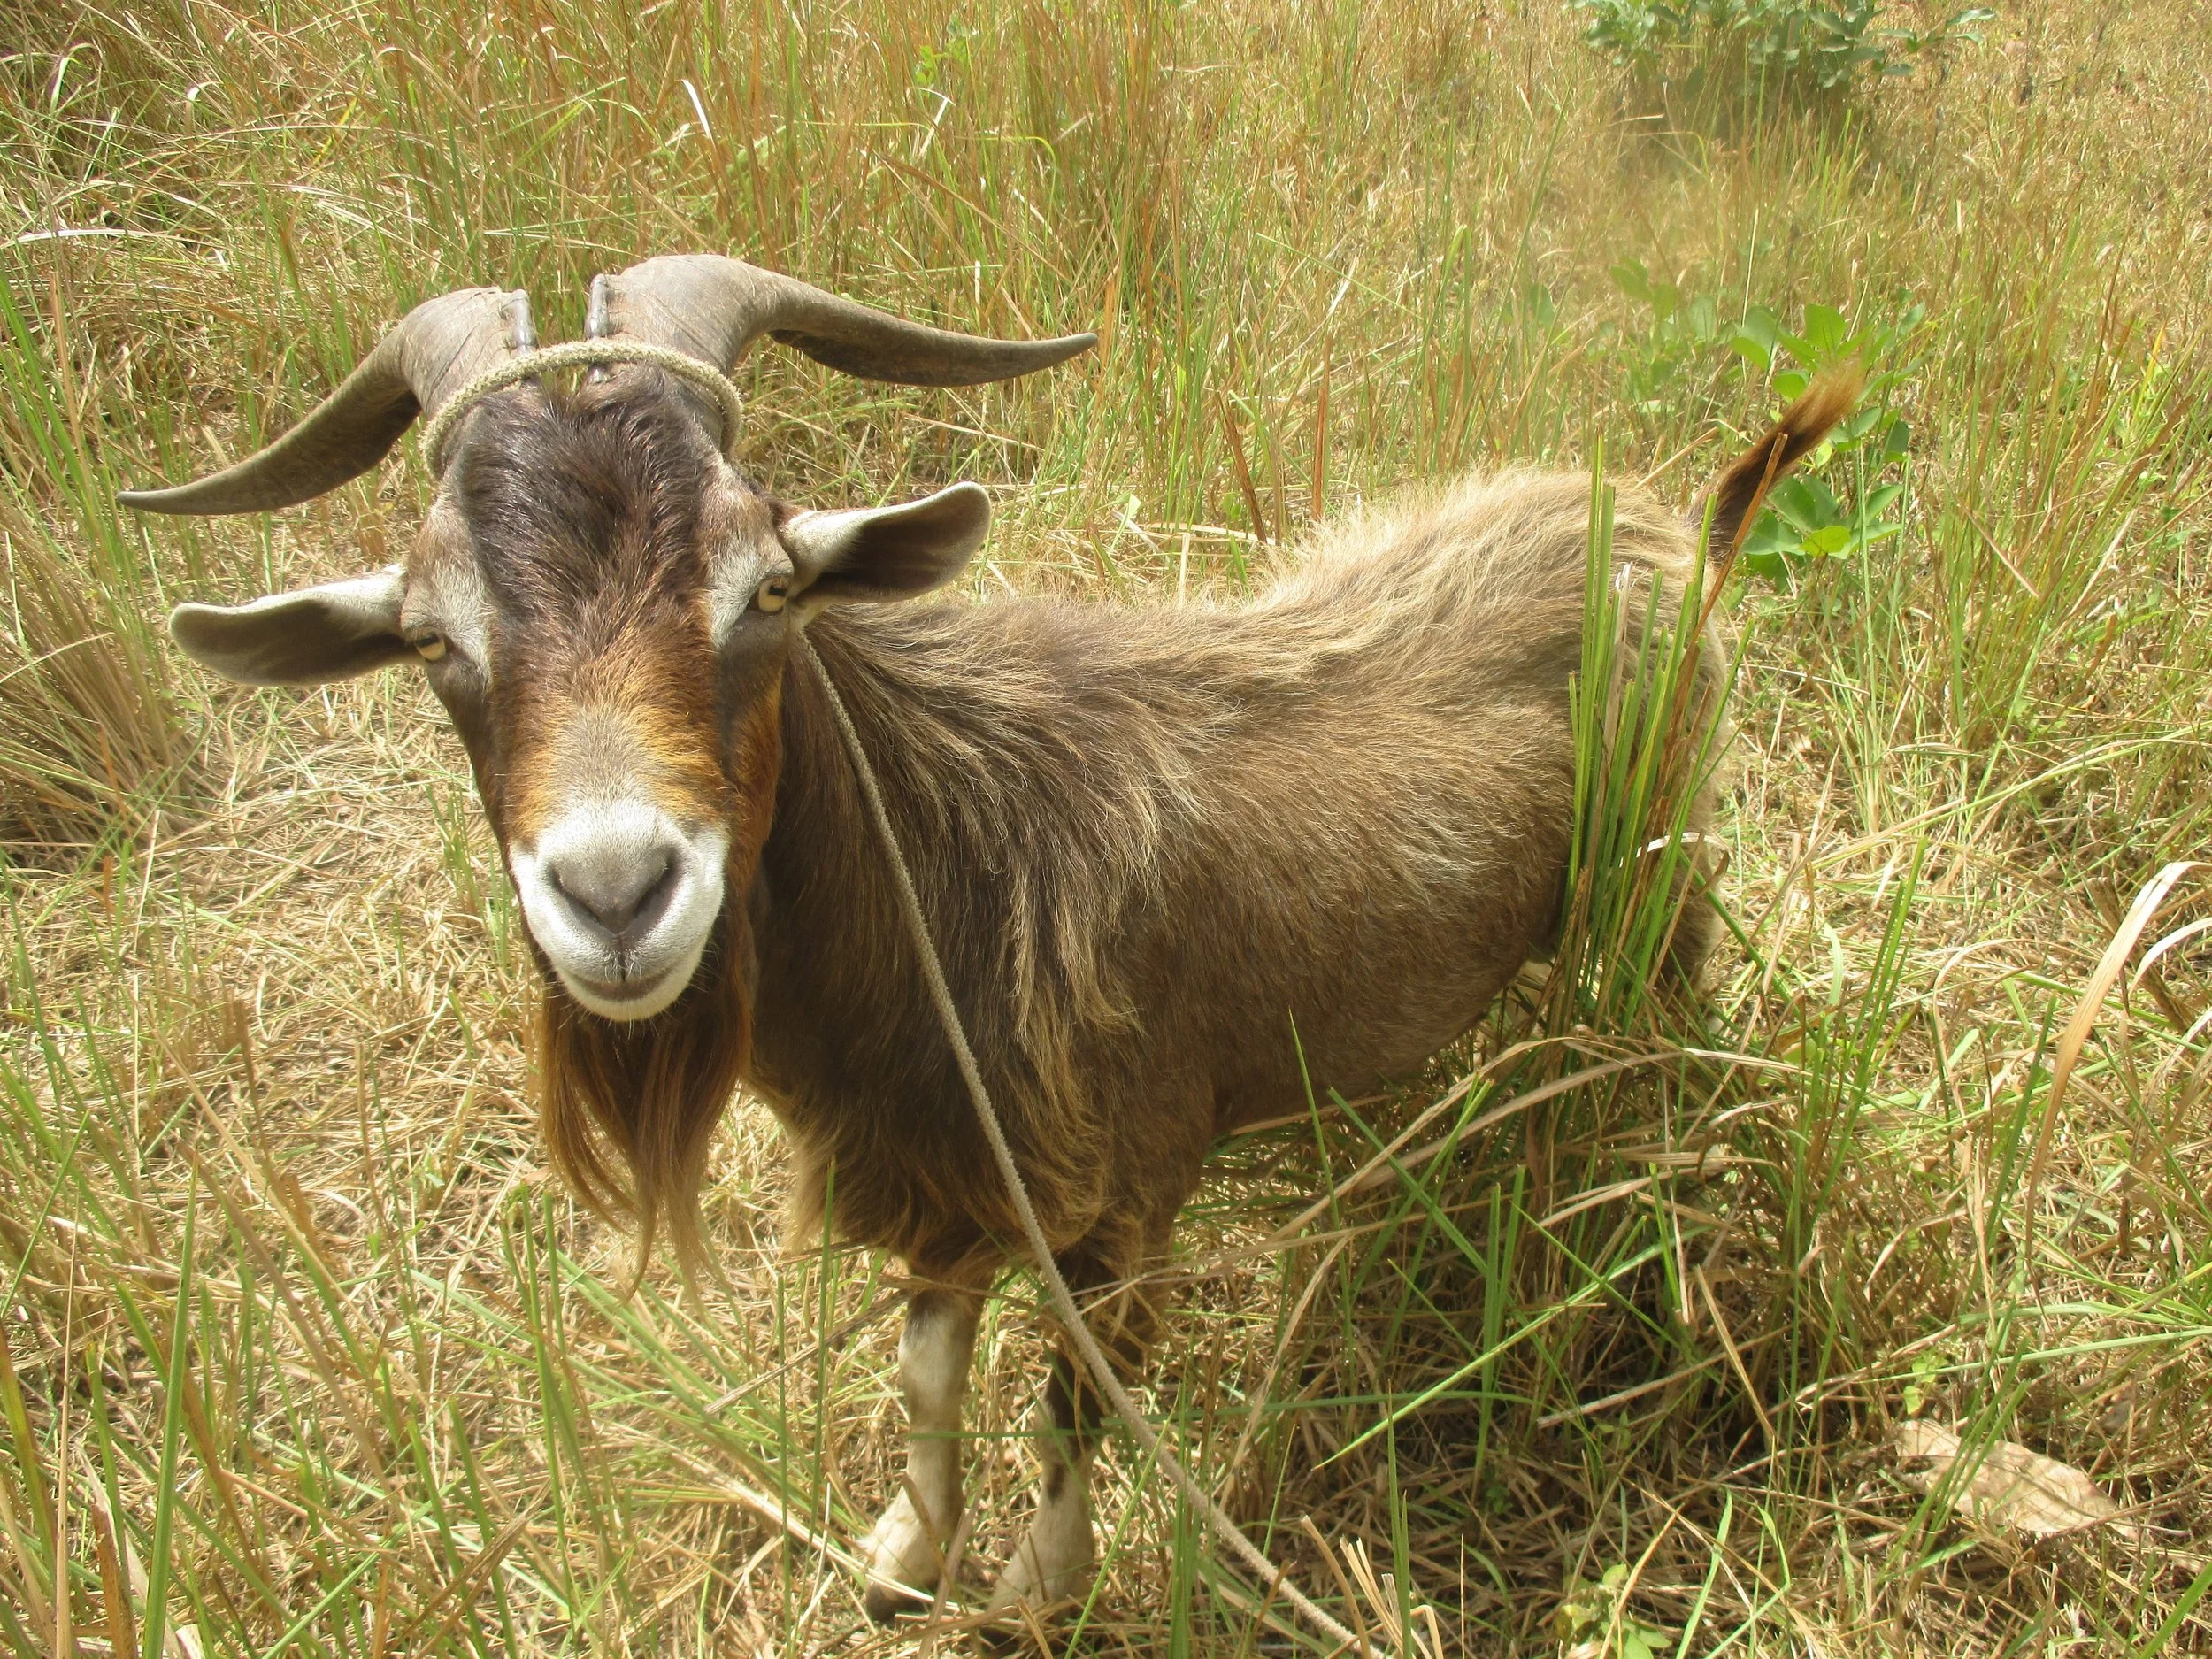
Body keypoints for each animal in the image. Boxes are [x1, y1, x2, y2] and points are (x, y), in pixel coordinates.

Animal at [122, 255, 1854, 1620]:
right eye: (433, 637)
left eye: (767, 586)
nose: (618, 892)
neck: (966, 852)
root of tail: (1678, 526)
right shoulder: (942, 1160)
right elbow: (929, 1369)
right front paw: (904, 1555)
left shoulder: (1129, 1187)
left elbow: (1079, 1400)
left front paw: (1037, 1584)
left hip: (1666, 881)